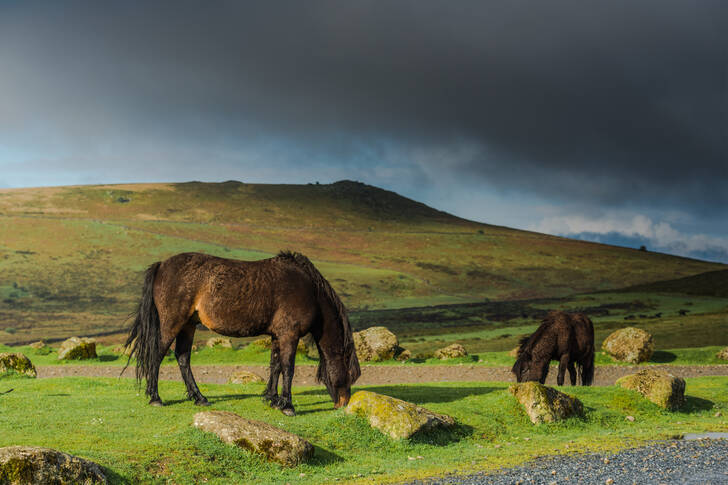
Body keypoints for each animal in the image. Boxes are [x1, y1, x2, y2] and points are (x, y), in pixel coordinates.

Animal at [128, 251, 364, 414]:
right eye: (351, 374)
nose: (343, 404)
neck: (309, 290)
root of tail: (161, 265)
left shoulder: (277, 335)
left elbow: (275, 366)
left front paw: (272, 399)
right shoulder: (289, 334)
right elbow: (288, 368)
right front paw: (287, 405)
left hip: (188, 325)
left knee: (183, 357)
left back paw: (199, 397)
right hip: (173, 324)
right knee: (157, 356)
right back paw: (156, 397)